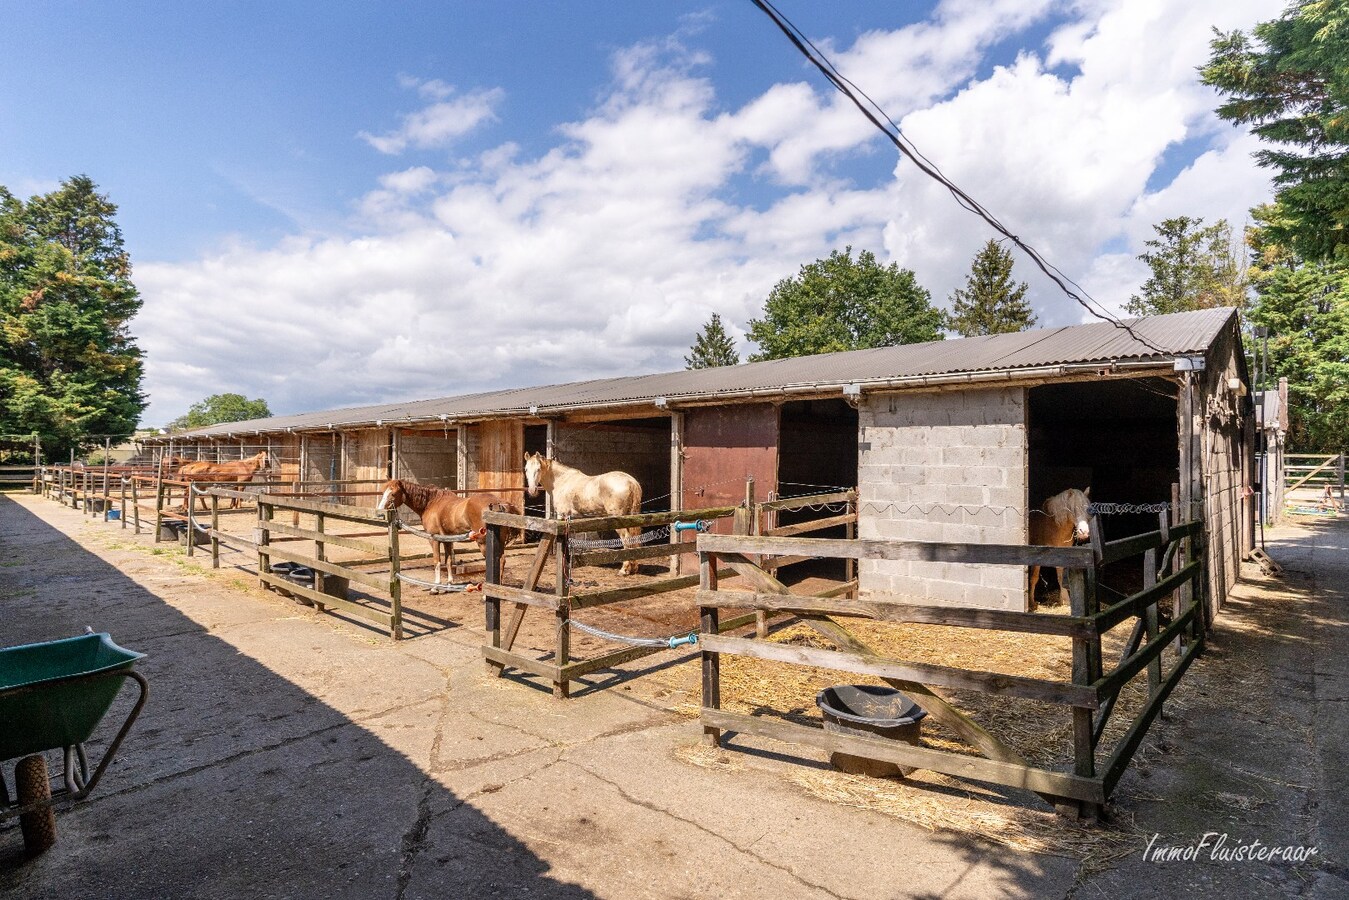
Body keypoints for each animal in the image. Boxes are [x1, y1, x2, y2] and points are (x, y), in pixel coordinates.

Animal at [380, 477, 526, 591]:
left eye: (393, 493)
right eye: (383, 492)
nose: (380, 511)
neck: (431, 503)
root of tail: (499, 504)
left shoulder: (434, 539)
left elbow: (437, 561)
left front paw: (436, 587)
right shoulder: (447, 539)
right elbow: (448, 561)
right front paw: (449, 583)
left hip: (483, 543)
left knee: (497, 561)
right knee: (502, 560)